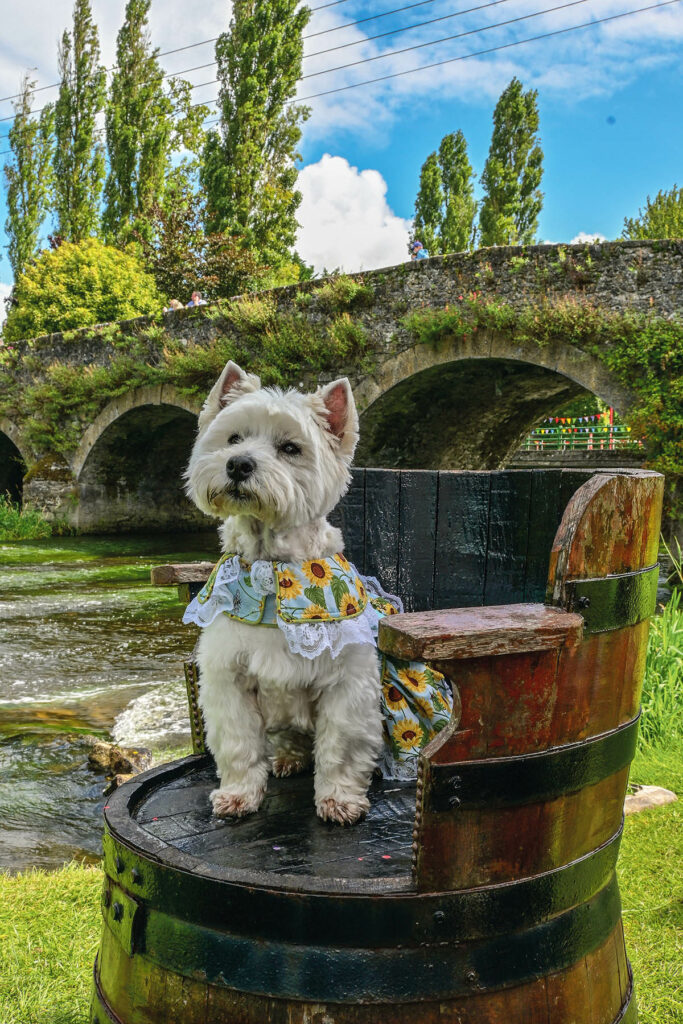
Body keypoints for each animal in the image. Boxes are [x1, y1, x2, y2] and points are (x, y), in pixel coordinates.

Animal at [184, 360, 382, 823]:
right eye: (233, 438)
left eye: (290, 448)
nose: (238, 464)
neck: (271, 567)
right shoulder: (229, 678)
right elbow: (238, 745)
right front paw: (238, 795)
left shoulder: (347, 684)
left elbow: (340, 749)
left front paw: (339, 801)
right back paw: (288, 759)